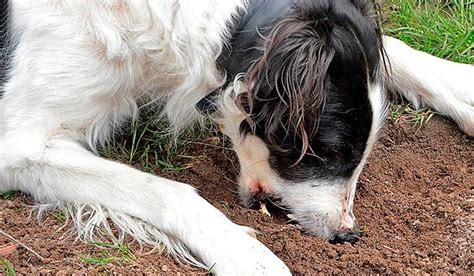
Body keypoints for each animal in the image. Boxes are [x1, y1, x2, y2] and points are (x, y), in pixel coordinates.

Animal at [0, 0, 472, 274]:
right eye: (331, 152)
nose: (347, 236)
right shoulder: (19, 144)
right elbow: (169, 190)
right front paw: (249, 255)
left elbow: (391, 45)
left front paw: (463, 86)